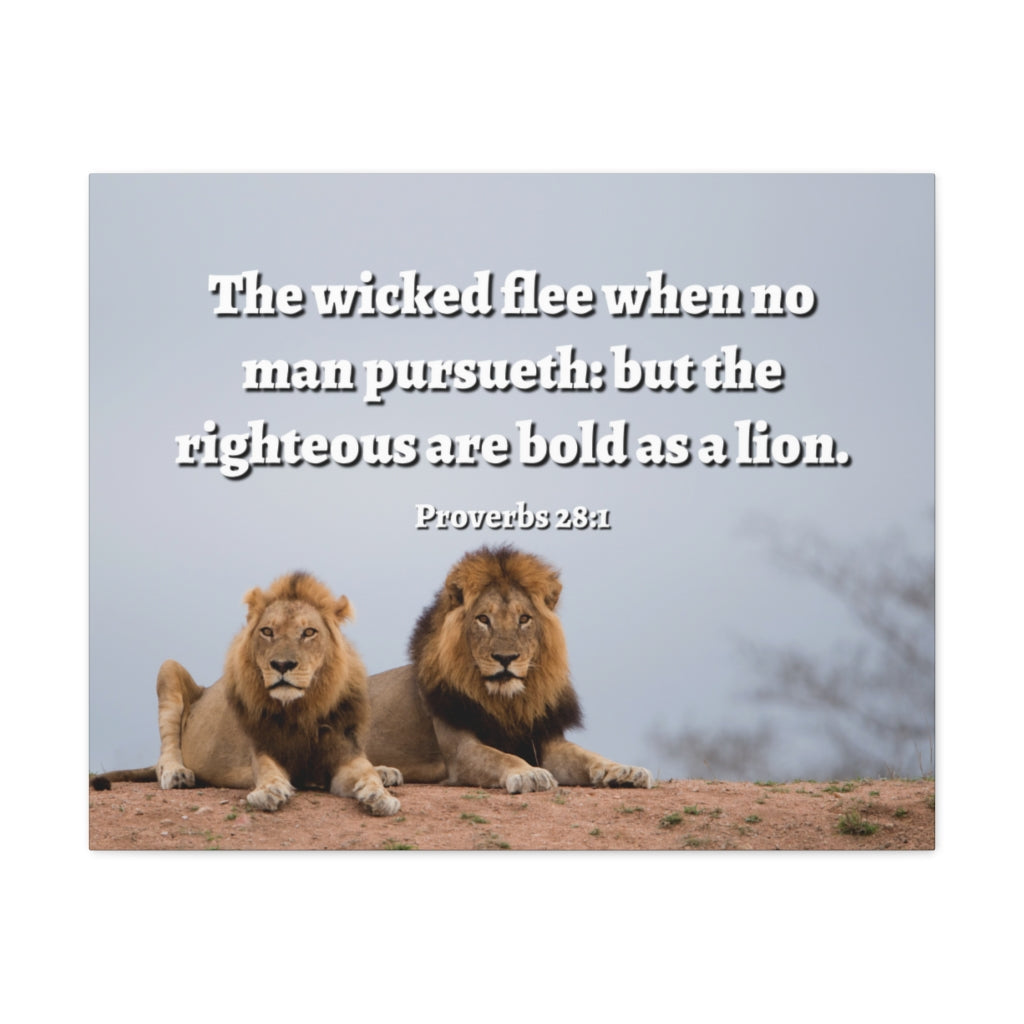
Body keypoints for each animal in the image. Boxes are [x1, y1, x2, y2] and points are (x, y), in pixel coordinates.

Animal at [90, 571, 402, 816]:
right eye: (267, 631)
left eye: (309, 632)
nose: (282, 665)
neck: (302, 709)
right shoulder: (262, 748)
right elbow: (268, 771)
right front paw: (269, 791)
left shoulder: (344, 752)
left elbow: (365, 773)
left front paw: (380, 794)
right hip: (168, 669)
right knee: (164, 755)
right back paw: (176, 773)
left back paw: (387, 772)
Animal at [365, 546, 653, 794]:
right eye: (483, 619)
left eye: (524, 619)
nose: (506, 658)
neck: (508, 703)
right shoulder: (460, 751)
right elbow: (501, 757)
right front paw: (529, 774)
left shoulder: (546, 740)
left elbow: (587, 755)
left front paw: (625, 770)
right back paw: (384, 772)